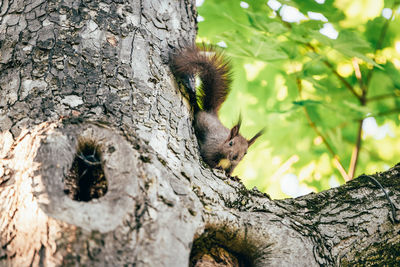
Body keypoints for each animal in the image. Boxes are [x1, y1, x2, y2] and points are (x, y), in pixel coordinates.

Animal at [171, 45, 262, 176]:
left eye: (245, 153)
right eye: (231, 143)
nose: (235, 157)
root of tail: (210, 112)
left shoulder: (233, 166)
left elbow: (230, 171)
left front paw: (232, 176)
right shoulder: (211, 148)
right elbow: (207, 158)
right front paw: (217, 167)